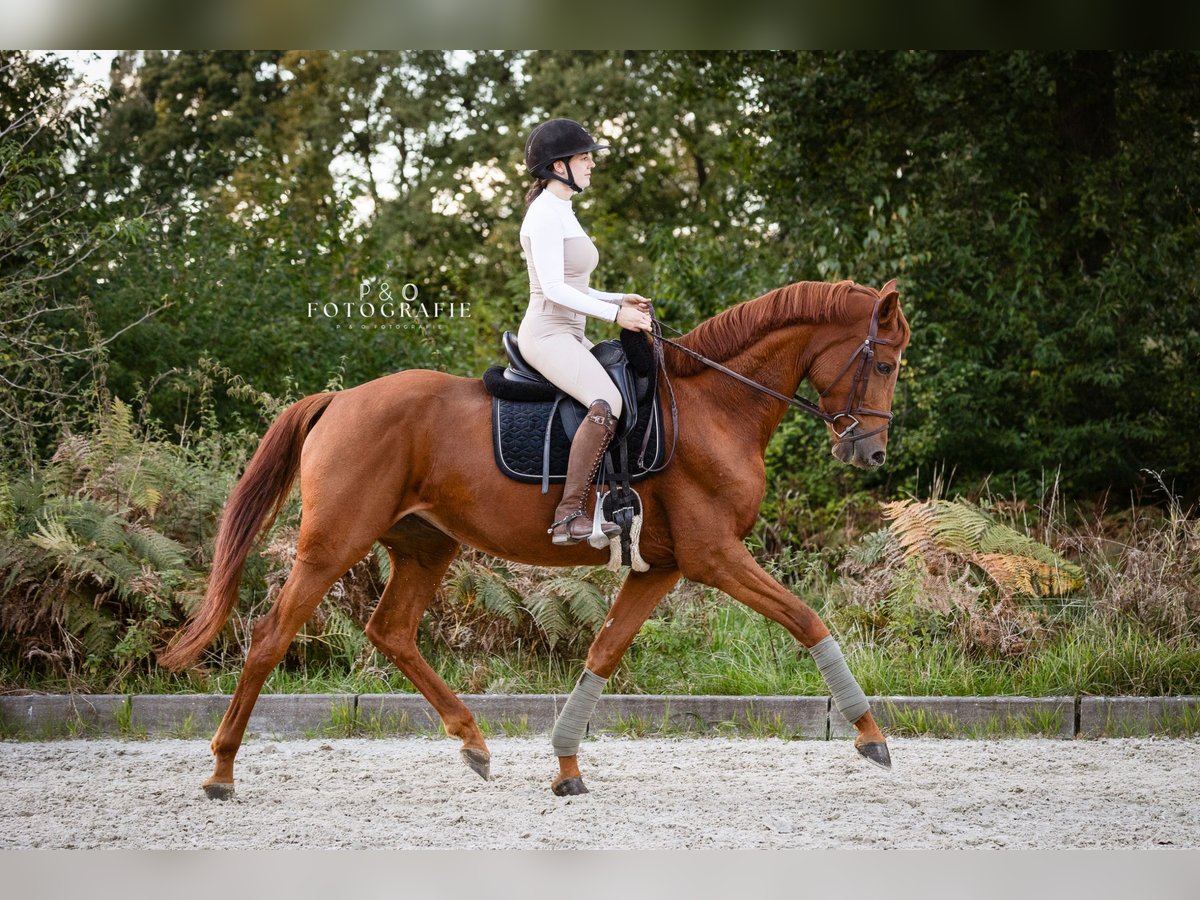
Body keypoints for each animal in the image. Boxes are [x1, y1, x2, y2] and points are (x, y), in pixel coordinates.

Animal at [157, 278, 907, 801]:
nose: (869, 453)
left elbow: (603, 653)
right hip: (332, 544)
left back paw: (474, 743)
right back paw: (222, 772)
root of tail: (339, 399)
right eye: (887, 364)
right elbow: (807, 619)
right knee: (269, 638)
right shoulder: (715, 556)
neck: (714, 407)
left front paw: (567, 765)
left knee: (391, 631)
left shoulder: (659, 567)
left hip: (426, 545)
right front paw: (871, 736)